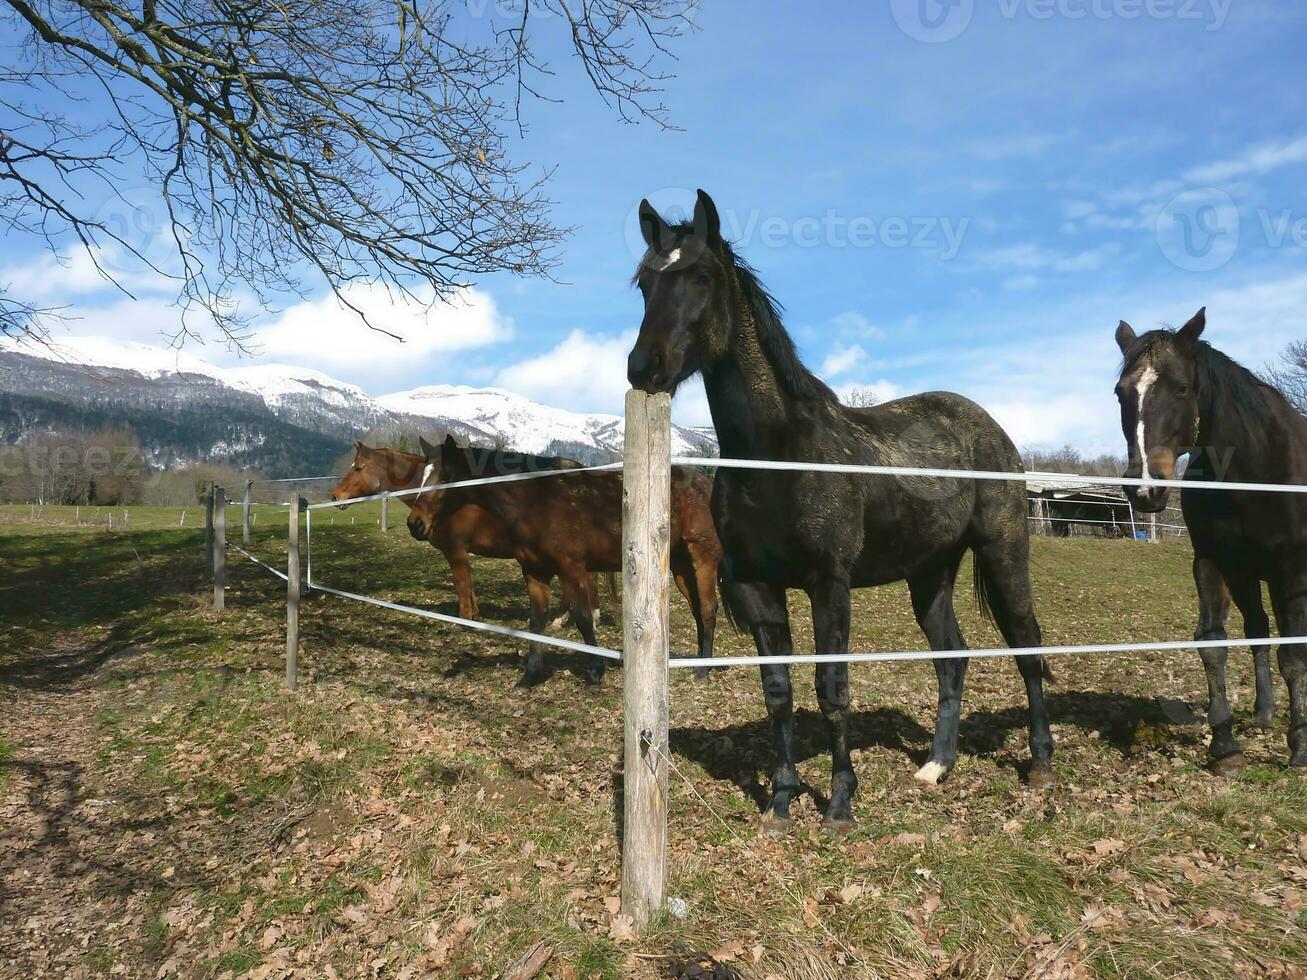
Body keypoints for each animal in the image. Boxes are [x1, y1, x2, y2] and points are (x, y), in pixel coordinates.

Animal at [331, 444, 606, 621]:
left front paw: (465, 619)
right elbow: (469, 585)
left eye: (357, 468)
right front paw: (474, 614)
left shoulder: (455, 550)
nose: (335, 496)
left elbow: (462, 584)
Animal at [410, 436, 726, 689]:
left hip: (702, 560)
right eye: (423, 476)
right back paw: (700, 663)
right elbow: (536, 621)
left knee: (708, 609)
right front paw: (530, 676)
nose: (415, 524)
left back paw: (703, 672)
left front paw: (595, 671)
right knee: (698, 611)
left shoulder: (571, 569)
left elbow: (583, 618)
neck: (537, 502)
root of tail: (706, 483)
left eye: (446, 475)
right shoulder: (535, 572)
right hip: (681, 567)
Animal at [622, 188, 1050, 831]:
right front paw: (780, 800)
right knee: (952, 658)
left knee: (1027, 643)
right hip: (929, 574)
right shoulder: (755, 588)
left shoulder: (830, 584)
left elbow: (832, 687)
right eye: (645, 281)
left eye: (701, 276)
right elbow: (778, 691)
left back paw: (1042, 762)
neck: (777, 456)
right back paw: (936, 766)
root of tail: (990, 428)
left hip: (1003, 554)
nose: (643, 368)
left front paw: (841, 803)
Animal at [1113, 310, 1307, 773]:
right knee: (1257, 629)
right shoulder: (1213, 563)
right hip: (1246, 577)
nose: (1145, 487)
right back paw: (1264, 712)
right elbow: (1214, 644)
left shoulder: (1290, 569)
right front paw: (1225, 745)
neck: (1255, 468)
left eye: (1181, 387)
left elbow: (1293, 657)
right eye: (1121, 393)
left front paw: (1299, 747)